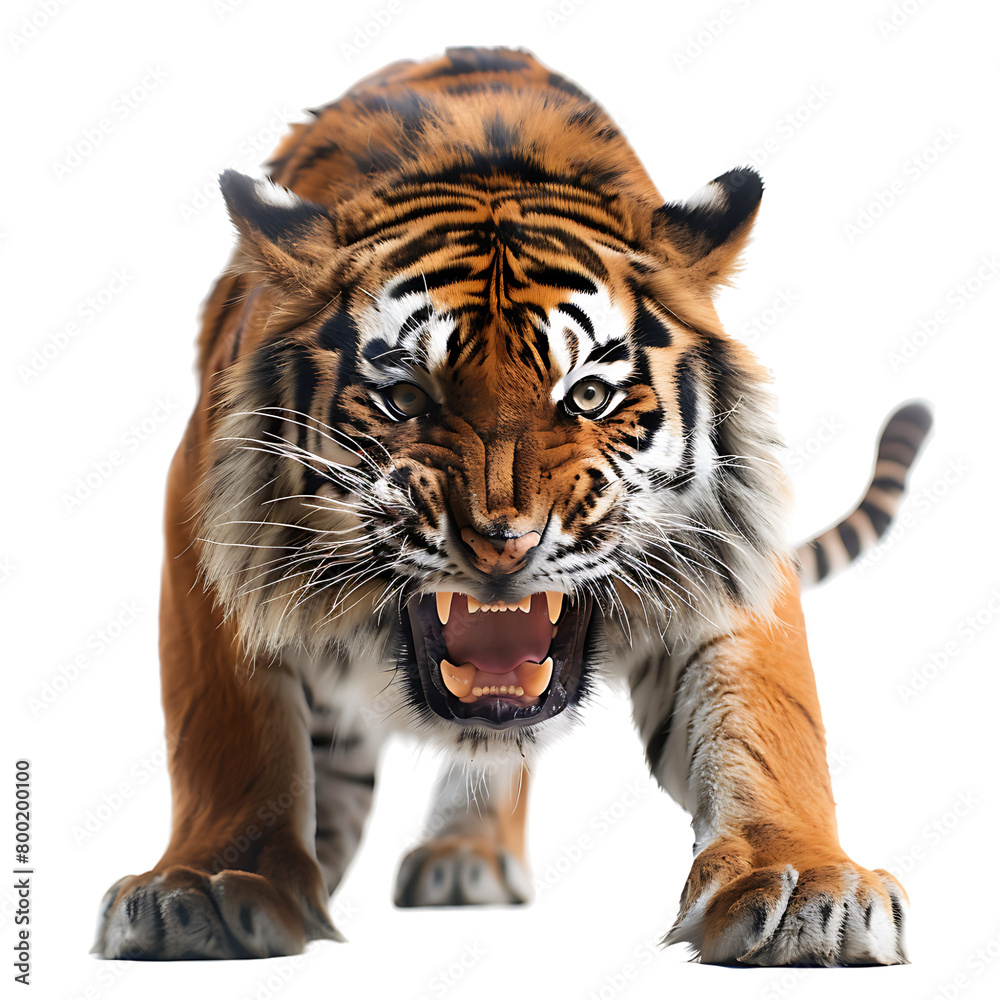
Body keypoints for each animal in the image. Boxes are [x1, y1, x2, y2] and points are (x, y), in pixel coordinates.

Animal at [93, 46, 931, 966]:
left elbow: (767, 720)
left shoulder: (725, 548)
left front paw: (806, 885)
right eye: (405, 398)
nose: (504, 543)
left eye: (590, 395)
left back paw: (466, 855)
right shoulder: (203, 520)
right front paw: (210, 885)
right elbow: (229, 730)